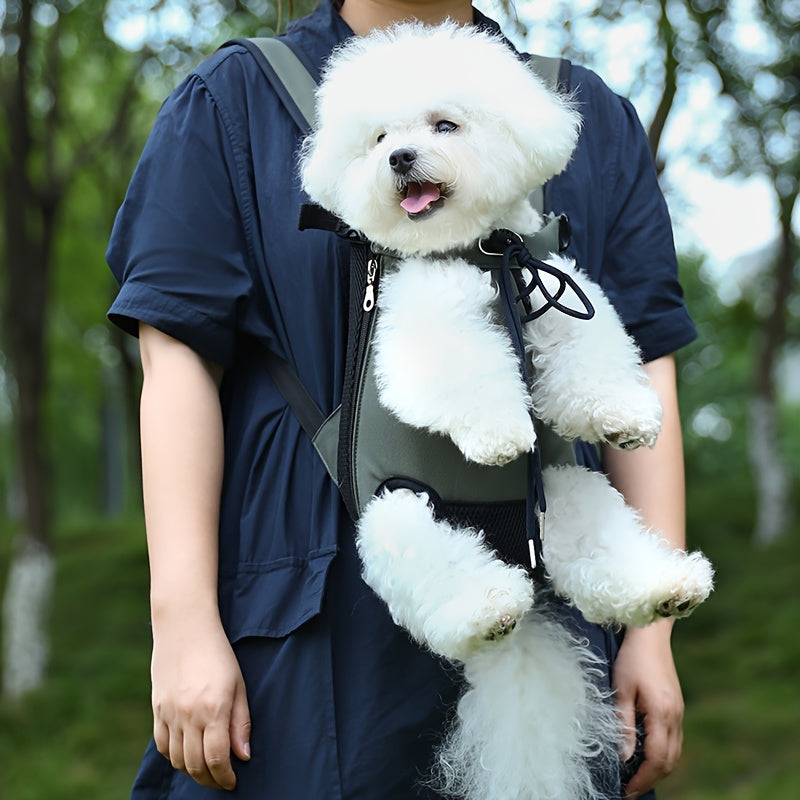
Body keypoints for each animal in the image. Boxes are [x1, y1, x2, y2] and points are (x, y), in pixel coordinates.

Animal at [300, 23, 712, 800]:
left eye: (444, 124)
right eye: (377, 139)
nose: (398, 158)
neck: (485, 254)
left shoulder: (555, 293)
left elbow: (592, 353)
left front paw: (624, 415)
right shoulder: (428, 318)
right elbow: (464, 371)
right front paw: (498, 435)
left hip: (567, 498)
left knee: (606, 562)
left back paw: (666, 584)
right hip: (403, 518)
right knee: (442, 577)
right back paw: (488, 606)